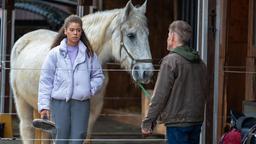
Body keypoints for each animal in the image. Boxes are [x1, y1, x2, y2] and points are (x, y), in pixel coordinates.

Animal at [9, 0, 154, 143]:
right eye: (131, 35)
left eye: (147, 35)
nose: (147, 72)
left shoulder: (91, 115)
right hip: (22, 102)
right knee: (27, 129)